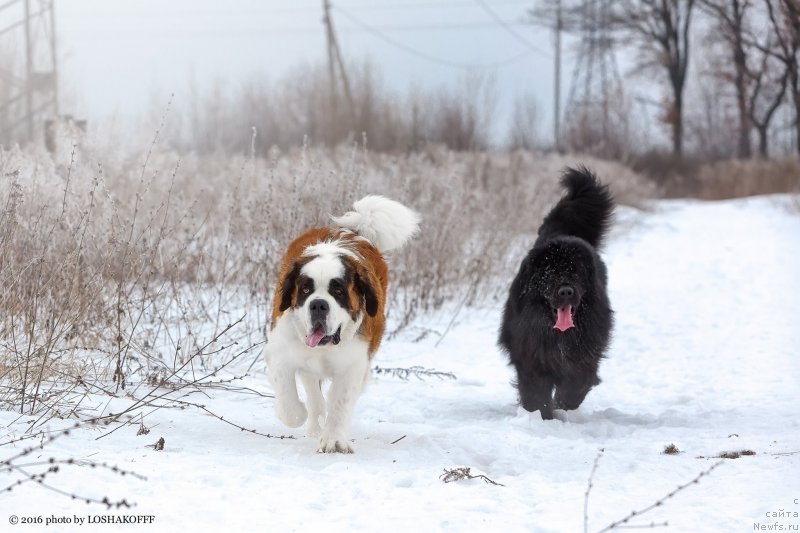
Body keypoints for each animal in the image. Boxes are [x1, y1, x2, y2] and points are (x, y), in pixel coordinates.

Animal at [266, 195, 422, 454]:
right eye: (305, 289)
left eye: (338, 291)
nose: (318, 305)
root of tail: (352, 230)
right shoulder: (281, 352)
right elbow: (289, 404)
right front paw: (301, 415)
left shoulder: (353, 364)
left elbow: (340, 404)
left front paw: (334, 441)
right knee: (312, 389)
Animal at [496, 168, 616, 418]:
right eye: (550, 273)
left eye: (576, 272)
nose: (566, 291)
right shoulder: (530, 355)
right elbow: (535, 393)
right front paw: (542, 416)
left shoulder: (586, 354)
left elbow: (577, 383)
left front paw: (563, 404)